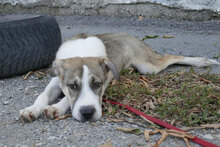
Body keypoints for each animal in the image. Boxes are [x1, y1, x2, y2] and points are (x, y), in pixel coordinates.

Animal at [19, 32, 220, 122]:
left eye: (97, 84)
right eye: (72, 86)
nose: (88, 113)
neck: (81, 52)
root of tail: (129, 35)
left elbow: (67, 100)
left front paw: (56, 107)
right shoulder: (56, 81)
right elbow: (43, 95)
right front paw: (32, 109)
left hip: (148, 67)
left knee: (171, 57)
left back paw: (202, 61)